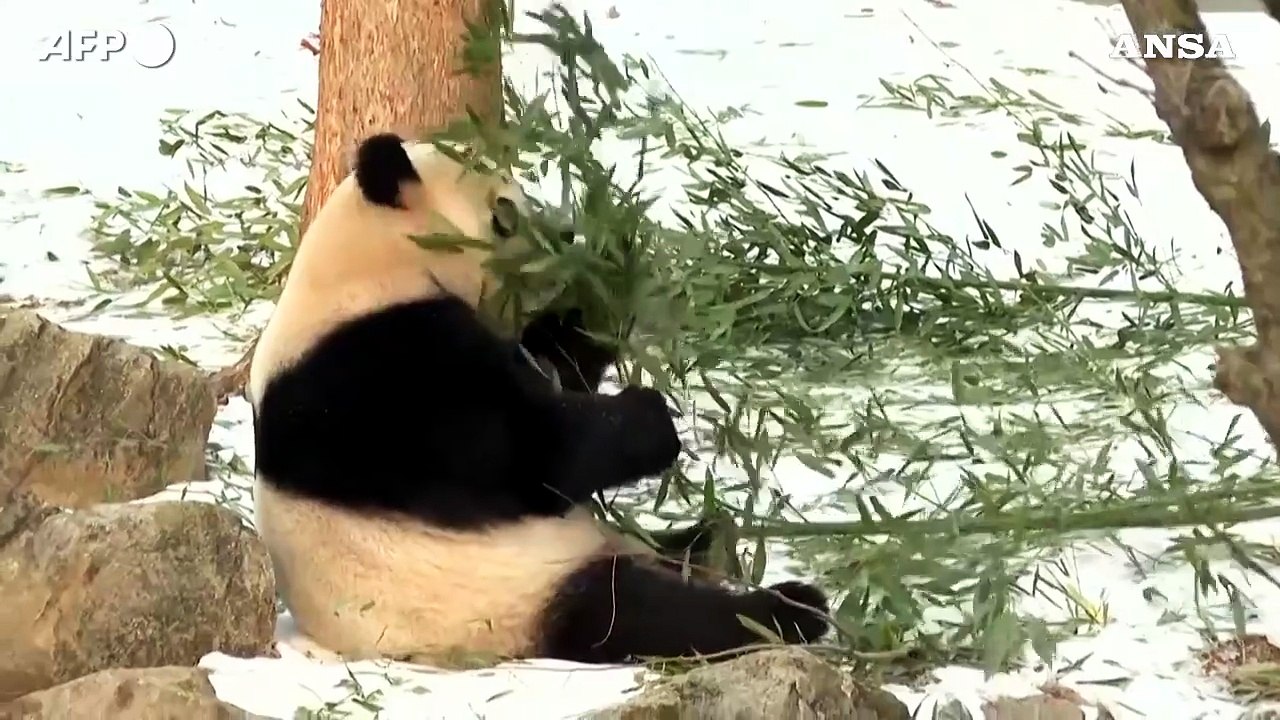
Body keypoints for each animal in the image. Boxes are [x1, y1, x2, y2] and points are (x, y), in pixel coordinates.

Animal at [246, 131, 830, 665]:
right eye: (504, 214)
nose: (563, 237)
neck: (369, 264)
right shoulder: (381, 373)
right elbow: (531, 455)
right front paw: (649, 417)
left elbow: (562, 364)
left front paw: (607, 260)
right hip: (506, 595)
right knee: (643, 614)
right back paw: (793, 608)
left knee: (673, 555)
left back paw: (712, 544)